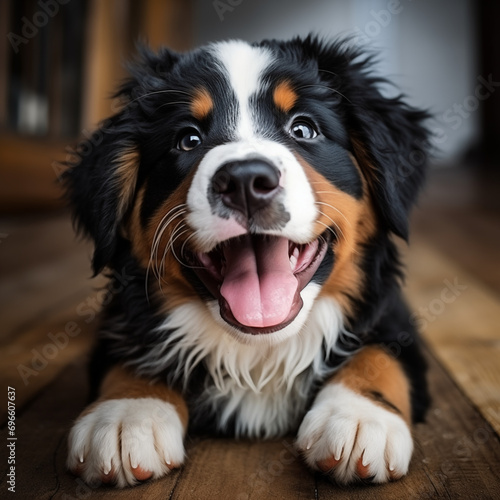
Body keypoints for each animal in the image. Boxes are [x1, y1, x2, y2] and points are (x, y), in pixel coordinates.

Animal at [63, 36, 430, 488]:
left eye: (303, 129)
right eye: (188, 139)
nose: (244, 181)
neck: (258, 354)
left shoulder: (394, 316)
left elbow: (379, 355)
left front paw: (359, 417)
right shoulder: (122, 318)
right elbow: (134, 354)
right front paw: (126, 413)